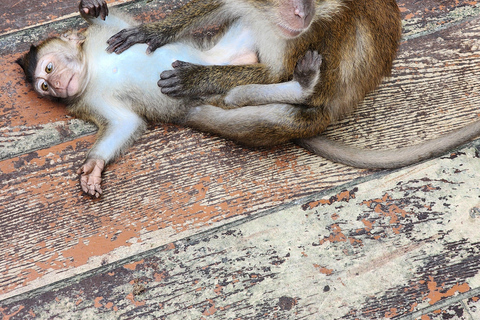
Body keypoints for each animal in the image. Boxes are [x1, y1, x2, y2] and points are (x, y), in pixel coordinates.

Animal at [15, 0, 322, 198]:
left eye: (49, 69)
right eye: (44, 86)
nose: (57, 86)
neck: (92, 68)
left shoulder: (102, 39)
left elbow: (120, 26)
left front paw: (91, 10)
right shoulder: (89, 100)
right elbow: (125, 122)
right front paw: (94, 165)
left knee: (257, 23)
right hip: (211, 96)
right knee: (244, 102)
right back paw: (302, 85)